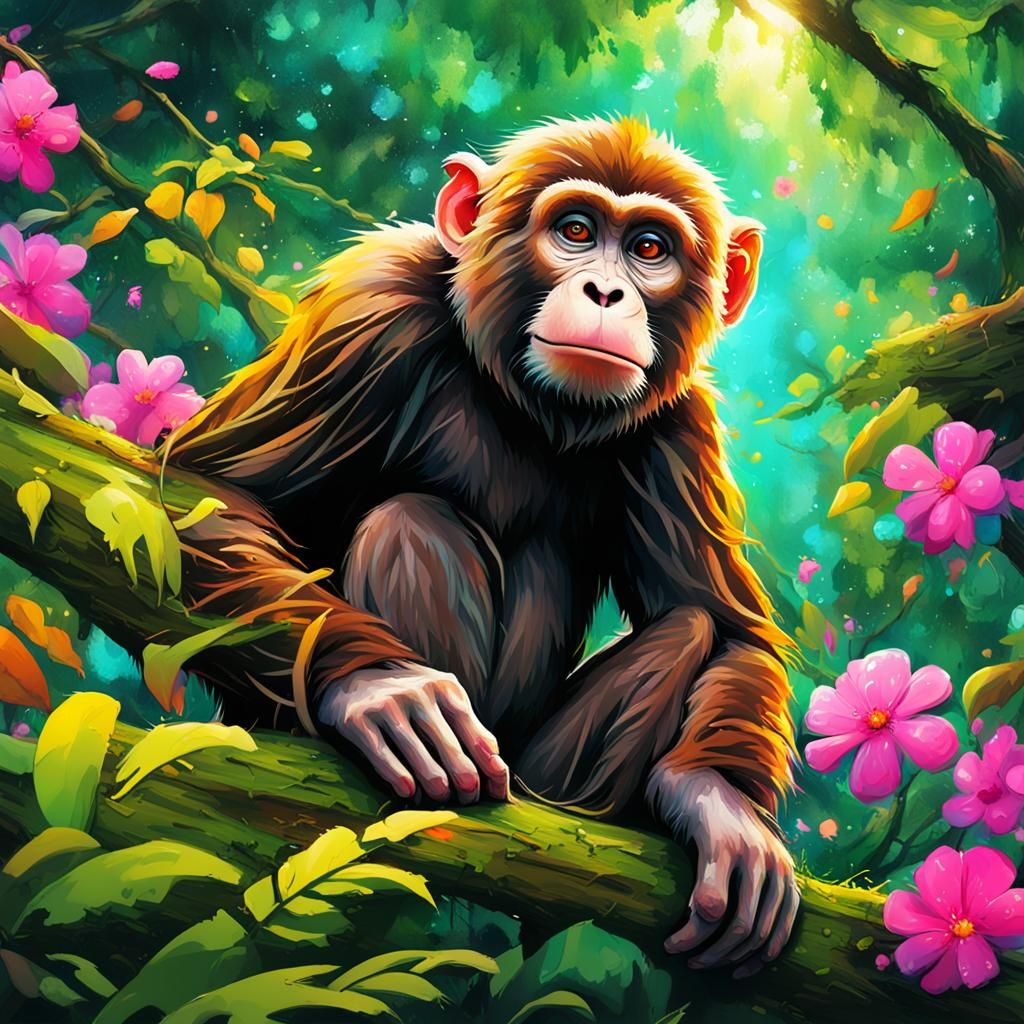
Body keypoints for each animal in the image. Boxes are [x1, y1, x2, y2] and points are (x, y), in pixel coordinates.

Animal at [164, 116, 799, 977]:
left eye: (650, 249)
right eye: (576, 231)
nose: (607, 293)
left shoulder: (680, 423)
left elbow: (727, 626)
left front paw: (717, 802)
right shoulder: (368, 311)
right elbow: (208, 493)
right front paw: (379, 685)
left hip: (536, 772)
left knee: (686, 630)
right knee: (409, 522)